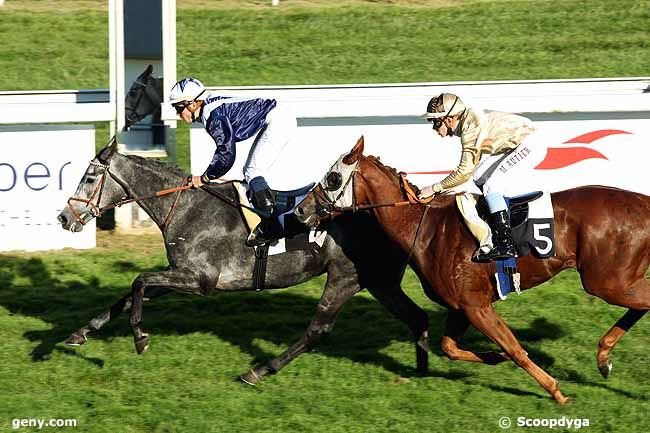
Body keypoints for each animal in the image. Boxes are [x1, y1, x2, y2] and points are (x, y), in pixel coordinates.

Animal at [57, 140, 430, 384]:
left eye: (89, 178)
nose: (64, 217)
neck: (187, 208)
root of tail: (398, 207)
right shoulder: (179, 273)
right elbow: (130, 294)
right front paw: (79, 333)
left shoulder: (201, 279)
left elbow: (139, 281)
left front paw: (139, 337)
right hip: (379, 281)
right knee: (417, 316)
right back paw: (422, 368)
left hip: (345, 276)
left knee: (318, 328)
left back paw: (259, 371)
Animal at [296, 137, 648, 404]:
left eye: (332, 178)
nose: (300, 210)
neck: (424, 227)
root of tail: (642, 202)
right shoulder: (461, 306)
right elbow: (450, 348)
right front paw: (493, 357)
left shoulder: (476, 305)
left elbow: (515, 348)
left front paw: (555, 391)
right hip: (619, 279)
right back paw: (603, 356)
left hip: (606, 281)